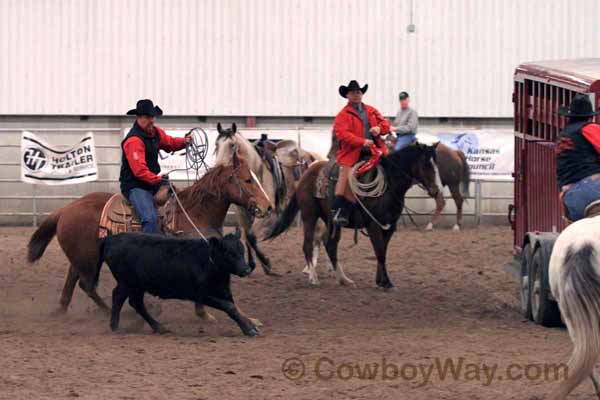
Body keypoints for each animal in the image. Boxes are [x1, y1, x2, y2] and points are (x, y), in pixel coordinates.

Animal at [27, 125, 272, 318]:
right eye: (247, 180)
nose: (268, 206)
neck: (196, 212)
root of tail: (65, 209)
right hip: (87, 257)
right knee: (86, 284)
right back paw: (110, 312)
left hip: (81, 257)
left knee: (73, 281)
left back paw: (62, 310)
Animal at [264, 145, 438, 290]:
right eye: (426, 164)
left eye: (436, 165)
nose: (436, 190)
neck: (389, 187)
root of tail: (307, 174)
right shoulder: (373, 225)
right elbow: (379, 252)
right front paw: (386, 282)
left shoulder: (389, 227)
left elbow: (382, 253)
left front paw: (382, 281)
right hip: (309, 216)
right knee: (308, 244)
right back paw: (314, 277)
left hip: (331, 220)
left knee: (330, 244)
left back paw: (343, 279)